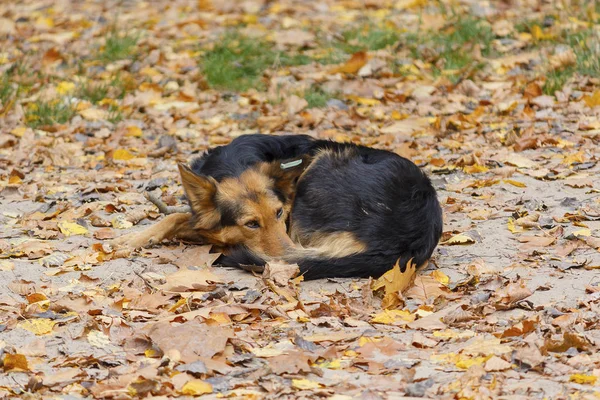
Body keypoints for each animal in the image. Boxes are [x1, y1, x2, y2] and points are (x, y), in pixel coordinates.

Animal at [112, 134, 442, 278]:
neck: (233, 163)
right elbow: (180, 217)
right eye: (251, 224)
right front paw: (137, 238)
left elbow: (185, 218)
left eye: (280, 212)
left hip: (322, 160)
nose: (285, 259)